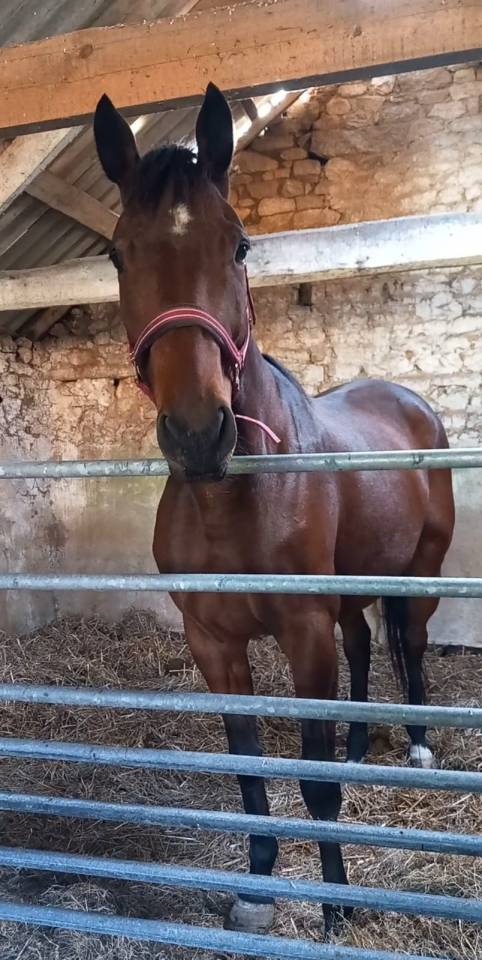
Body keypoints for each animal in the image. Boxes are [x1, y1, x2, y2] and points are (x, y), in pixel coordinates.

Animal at [93, 83, 455, 936]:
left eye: (239, 246)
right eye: (119, 254)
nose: (199, 433)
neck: (232, 499)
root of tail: (412, 403)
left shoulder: (301, 631)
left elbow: (312, 778)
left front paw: (337, 906)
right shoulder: (214, 643)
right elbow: (249, 765)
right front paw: (258, 883)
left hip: (421, 571)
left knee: (412, 642)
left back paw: (418, 746)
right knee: (366, 645)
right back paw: (363, 743)